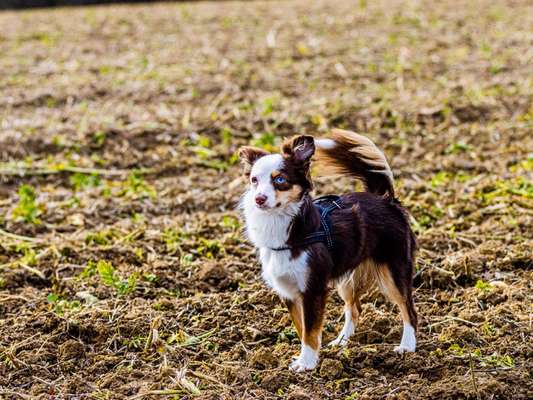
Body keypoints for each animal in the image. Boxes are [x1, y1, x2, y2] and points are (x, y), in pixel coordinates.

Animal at [239, 130, 418, 372]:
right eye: (254, 180)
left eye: (280, 180)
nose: (259, 199)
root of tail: (384, 199)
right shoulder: (288, 292)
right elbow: (303, 328)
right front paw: (308, 357)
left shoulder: (313, 289)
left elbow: (310, 330)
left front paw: (306, 364)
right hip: (348, 280)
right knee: (354, 309)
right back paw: (341, 342)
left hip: (394, 271)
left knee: (408, 308)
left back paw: (407, 346)